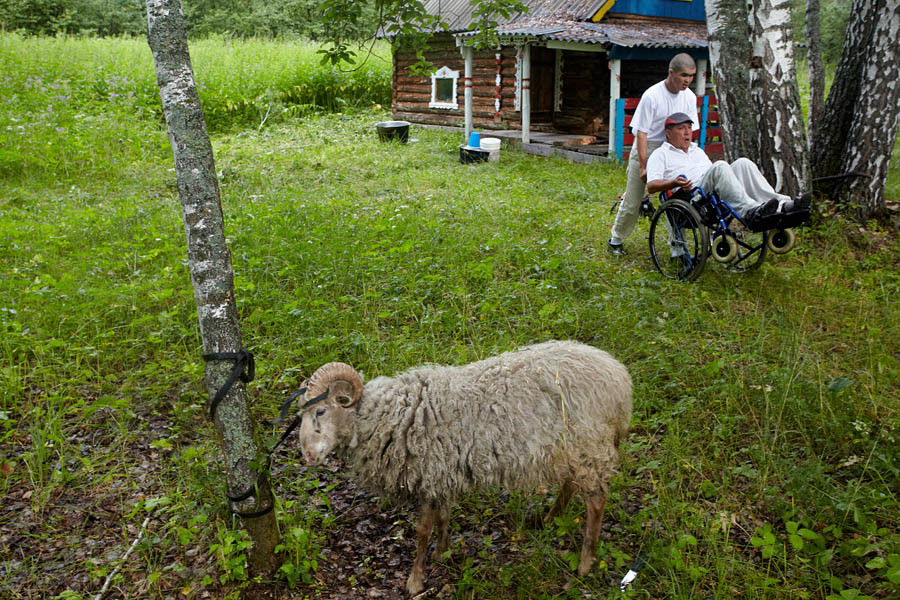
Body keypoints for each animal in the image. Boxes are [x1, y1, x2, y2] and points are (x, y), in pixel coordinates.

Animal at [298, 340, 632, 592]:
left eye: (321, 411)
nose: (309, 456)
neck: (387, 416)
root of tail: (619, 378)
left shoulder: (431, 472)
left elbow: (422, 530)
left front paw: (415, 580)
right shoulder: (442, 472)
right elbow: (444, 516)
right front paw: (443, 552)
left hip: (588, 443)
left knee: (596, 501)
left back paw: (585, 564)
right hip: (570, 448)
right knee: (571, 483)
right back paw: (549, 518)